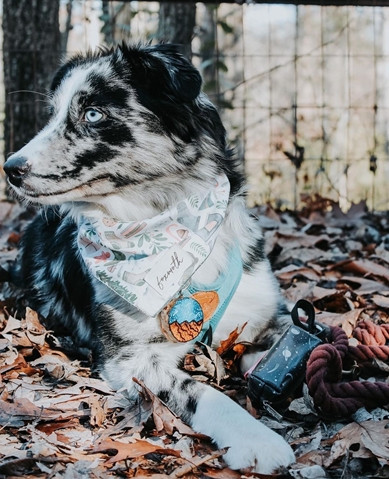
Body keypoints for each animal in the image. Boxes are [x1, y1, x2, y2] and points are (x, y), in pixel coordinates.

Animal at [3, 43, 294, 474]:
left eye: (93, 114)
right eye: (53, 114)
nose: (11, 169)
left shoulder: (267, 316)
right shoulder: (130, 357)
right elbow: (200, 390)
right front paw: (256, 437)